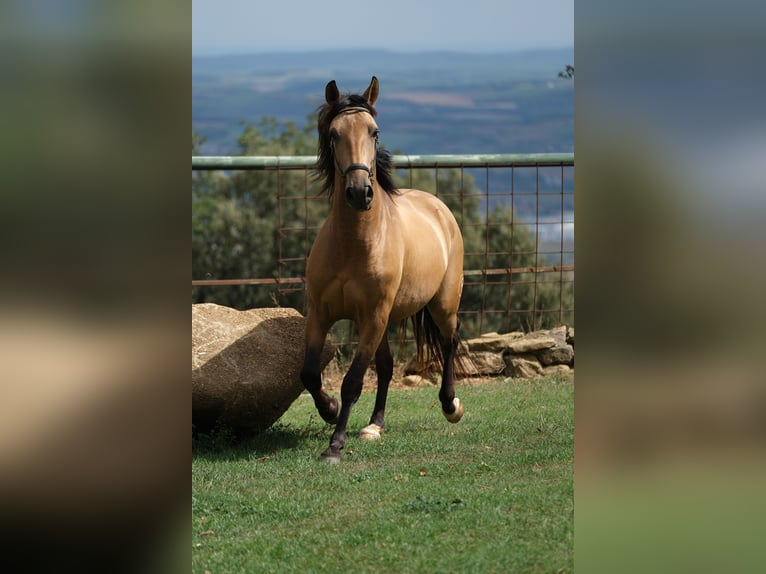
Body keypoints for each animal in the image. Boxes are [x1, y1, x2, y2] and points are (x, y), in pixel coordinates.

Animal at [302, 76, 468, 464]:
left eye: (374, 132)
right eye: (334, 134)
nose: (359, 192)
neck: (354, 244)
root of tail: (439, 208)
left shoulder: (374, 316)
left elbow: (352, 381)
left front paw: (334, 445)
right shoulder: (321, 313)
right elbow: (310, 375)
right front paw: (329, 410)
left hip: (442, 305)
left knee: (450, 341)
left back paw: (450, 406)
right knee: (388, 364)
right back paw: (374, 425)